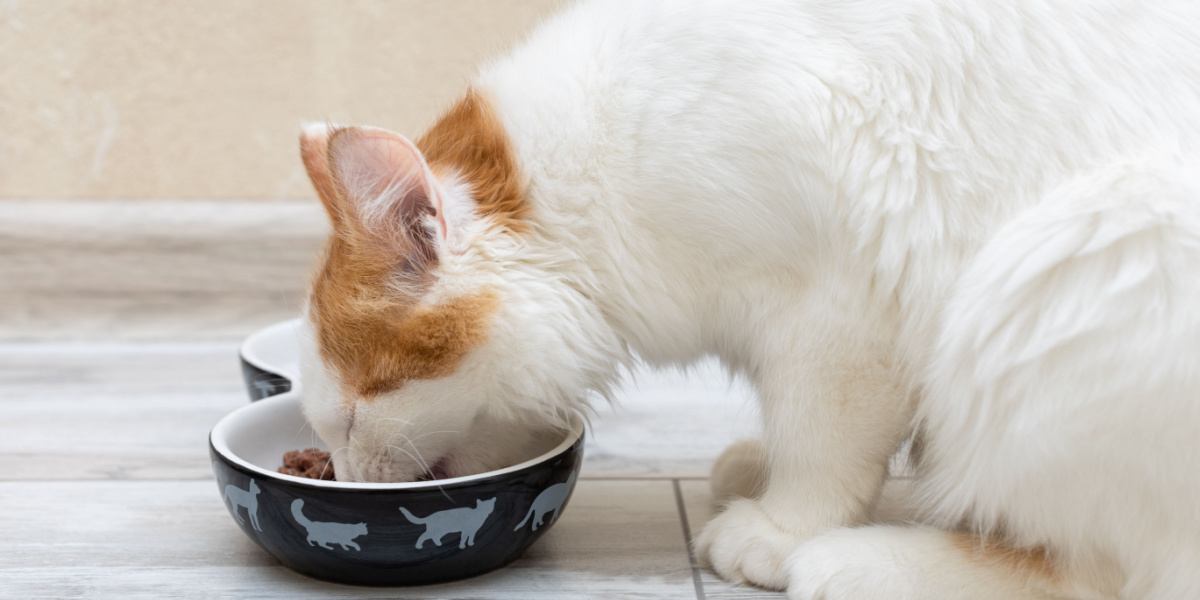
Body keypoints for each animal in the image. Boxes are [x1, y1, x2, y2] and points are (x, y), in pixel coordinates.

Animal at [292, 2, 1200, 597]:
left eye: (352, 415)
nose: (347, 479)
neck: (593, 180)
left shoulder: (838, 312)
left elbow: (822, 443)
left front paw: (785, 525)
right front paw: (757, 470)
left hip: (1056, 274)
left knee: (1103, 571)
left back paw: (848, 563)